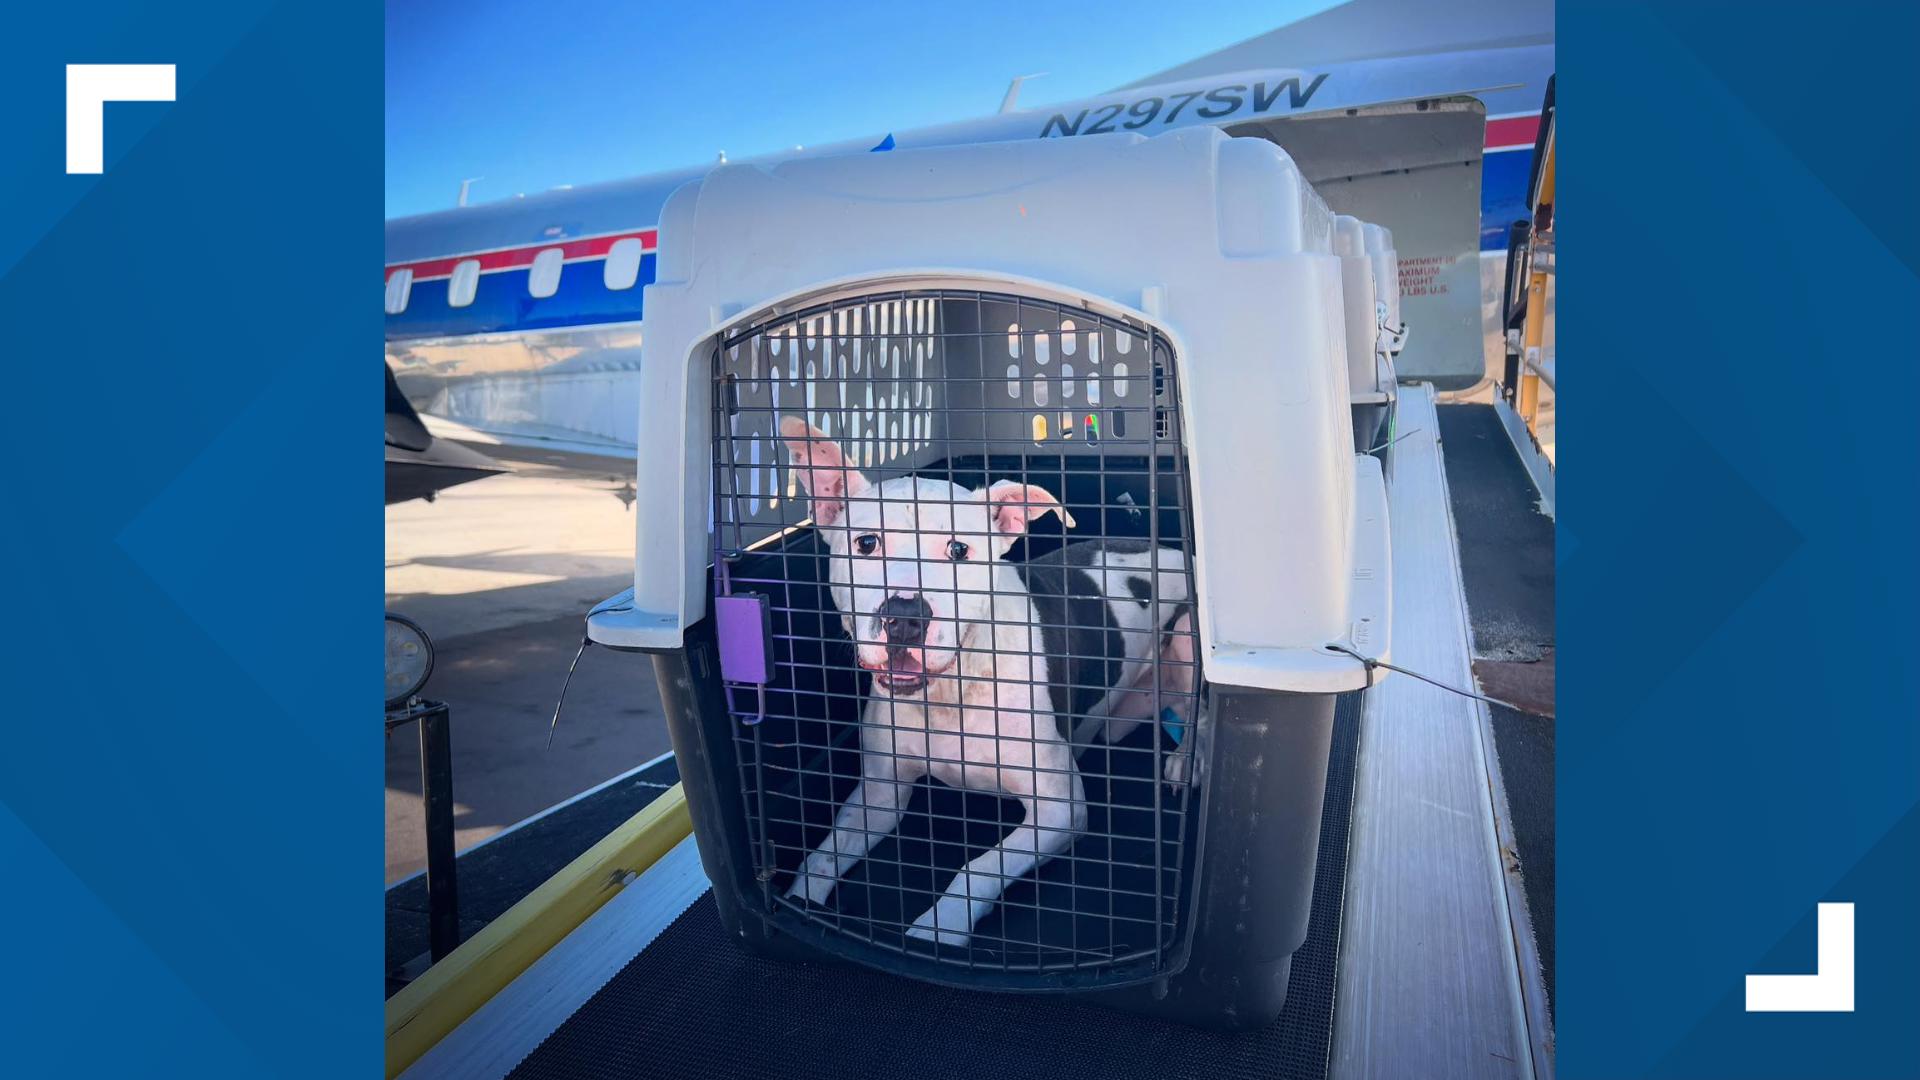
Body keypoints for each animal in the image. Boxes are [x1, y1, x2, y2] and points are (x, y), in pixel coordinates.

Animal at [771, 417, 1190, 945]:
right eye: (867, 543)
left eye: (958, 550)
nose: (905, 618)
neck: (952, 691)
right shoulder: (880, 796)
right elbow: (822, 856)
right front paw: (798, 903)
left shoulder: (1059, 809)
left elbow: (980, 868)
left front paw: (939, 930)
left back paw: (1186, 760)